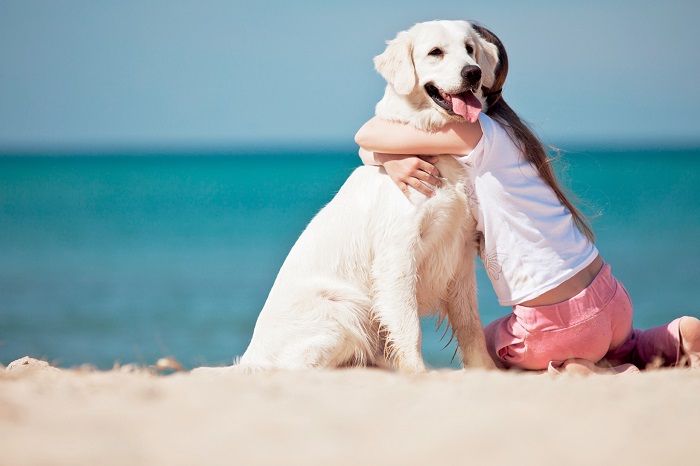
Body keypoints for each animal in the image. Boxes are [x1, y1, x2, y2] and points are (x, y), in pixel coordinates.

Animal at [197, 20, 500, 374]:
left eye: (469, 48)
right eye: (435, 52)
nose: (473, 73)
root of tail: (251, 357)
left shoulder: (459, 251)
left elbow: (471, 326)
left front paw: (486, 372)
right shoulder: (397, 253)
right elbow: (409, 328)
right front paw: (417, 374)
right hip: (342, 309)